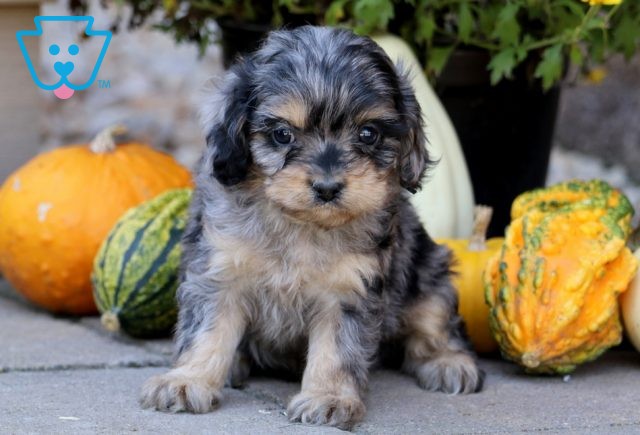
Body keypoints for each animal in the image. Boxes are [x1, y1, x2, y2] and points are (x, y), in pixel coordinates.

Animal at [140, 25, 480, 430]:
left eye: (368, 134)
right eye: (283, 134)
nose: (328, 187)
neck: (300, 224)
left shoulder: (349, 287)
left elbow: (336, 349)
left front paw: (328, 398)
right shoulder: (218, 271)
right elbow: (206, 331)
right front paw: (187, 380)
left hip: (430, 270)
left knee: (434, 322)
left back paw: (448, 362)